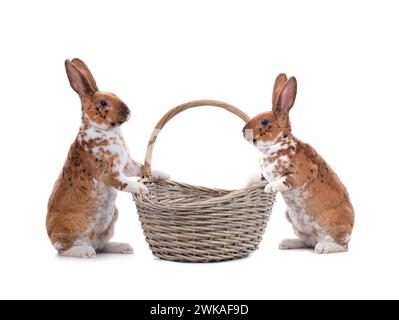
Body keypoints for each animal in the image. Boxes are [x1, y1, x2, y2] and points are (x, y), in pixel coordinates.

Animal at [46, 58, 169, 258]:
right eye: (103, 103)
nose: (129, 112)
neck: (105, 131)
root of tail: (49, 234)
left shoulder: (128, 165)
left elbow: (142, 168)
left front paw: (163, 174)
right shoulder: (111, 174)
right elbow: (125, 183)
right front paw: (142, 189)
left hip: (111, 220)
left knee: (101, 245)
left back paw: (123, 247)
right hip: (74, 226)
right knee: (63, 250)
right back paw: (85, 252)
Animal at [244, 74, 356, 254]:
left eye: (265, 122)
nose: (243, 131)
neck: (277, 143)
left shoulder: (300, 174)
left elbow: (284, 180)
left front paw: (269, 188)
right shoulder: (265, 174)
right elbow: (258, 176)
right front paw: (249, 181)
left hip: (328, 222)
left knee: (341, 246)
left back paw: (323, 248)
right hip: (293, 220)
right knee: (307, 241)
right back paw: (286, 243)